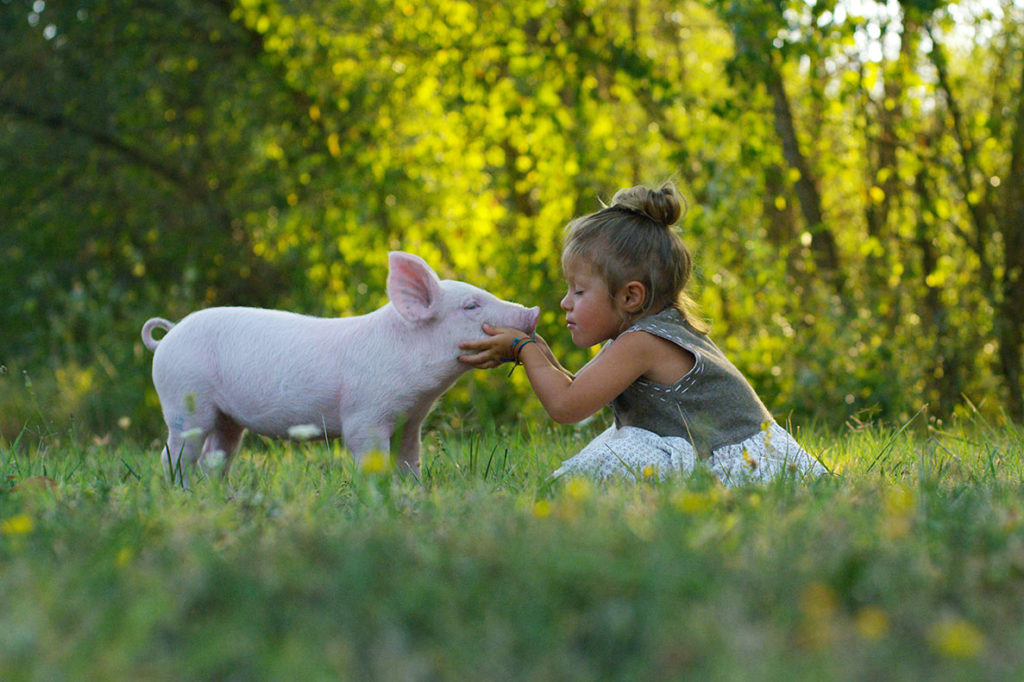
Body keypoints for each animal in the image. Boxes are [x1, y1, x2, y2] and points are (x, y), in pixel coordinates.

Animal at [140, 249, 540, 483]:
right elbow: (370, 456)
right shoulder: (365, 415)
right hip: (184, 399)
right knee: (176, 454)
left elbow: (410, 460)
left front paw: (413, 492)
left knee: (217, 454)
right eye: (471, 305)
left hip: (226, 418)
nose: (532, 311)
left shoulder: (410, 420)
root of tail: (169, 335)